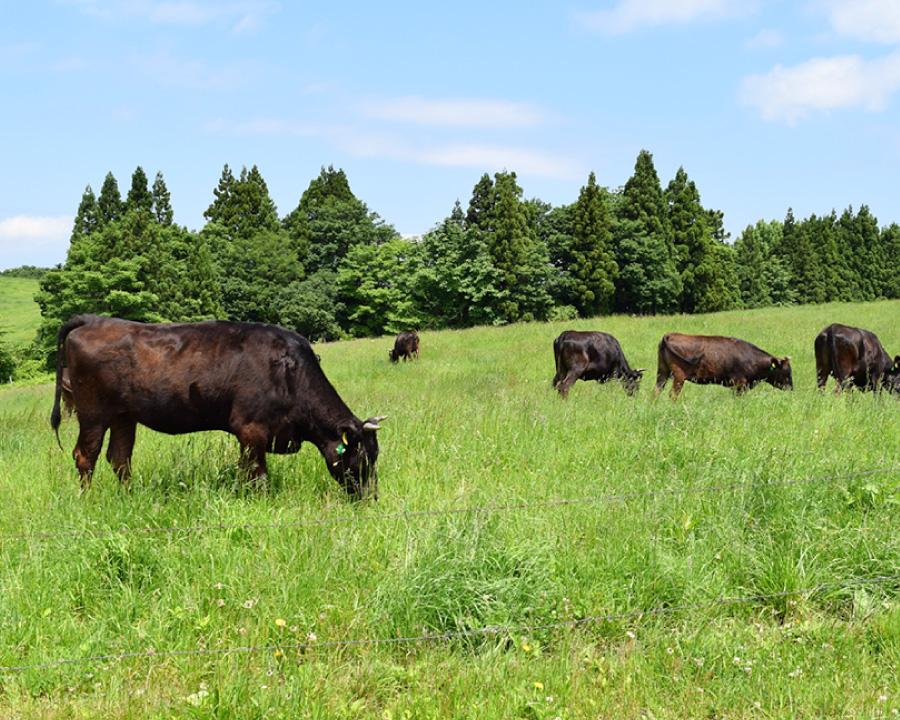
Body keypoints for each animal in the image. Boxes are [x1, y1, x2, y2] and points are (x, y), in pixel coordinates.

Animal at [51, 316, 384, 500]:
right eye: (363, 458)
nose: (371, 498)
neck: (290, 372)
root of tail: (95, 320)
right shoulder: (251, 430)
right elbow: (258, 475)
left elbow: (245, 472)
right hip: (93, 413)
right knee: (85, 456)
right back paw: (88, 501)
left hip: (123, 416)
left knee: (120, 459)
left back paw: (129, 498)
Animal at [652, 334, 796, 400]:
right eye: (787, 372)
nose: (791, 389)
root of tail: (670, 335)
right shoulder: (739, 383)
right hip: (679, 376)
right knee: (672, 394)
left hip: (662, 372)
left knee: (656, 391)